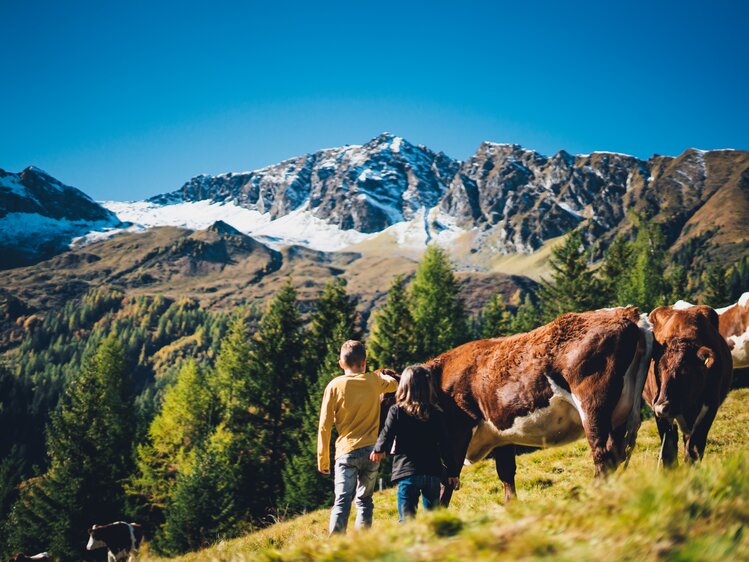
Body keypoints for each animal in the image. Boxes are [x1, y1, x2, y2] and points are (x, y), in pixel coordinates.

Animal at [430, 306, 652, 504]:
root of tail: (627, 312)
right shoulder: (501, 435)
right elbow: (506, 473)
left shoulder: (456, 435)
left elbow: (446, 481)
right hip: (619, 413)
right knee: (616, 453)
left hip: (593, 406)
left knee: (603, 452)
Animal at [644, 304, 732, 466]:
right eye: (658, 370)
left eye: (685, 371)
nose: (661, 407)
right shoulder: (659, 412)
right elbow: (668, 448)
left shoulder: (710, 407)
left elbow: (694, 448)